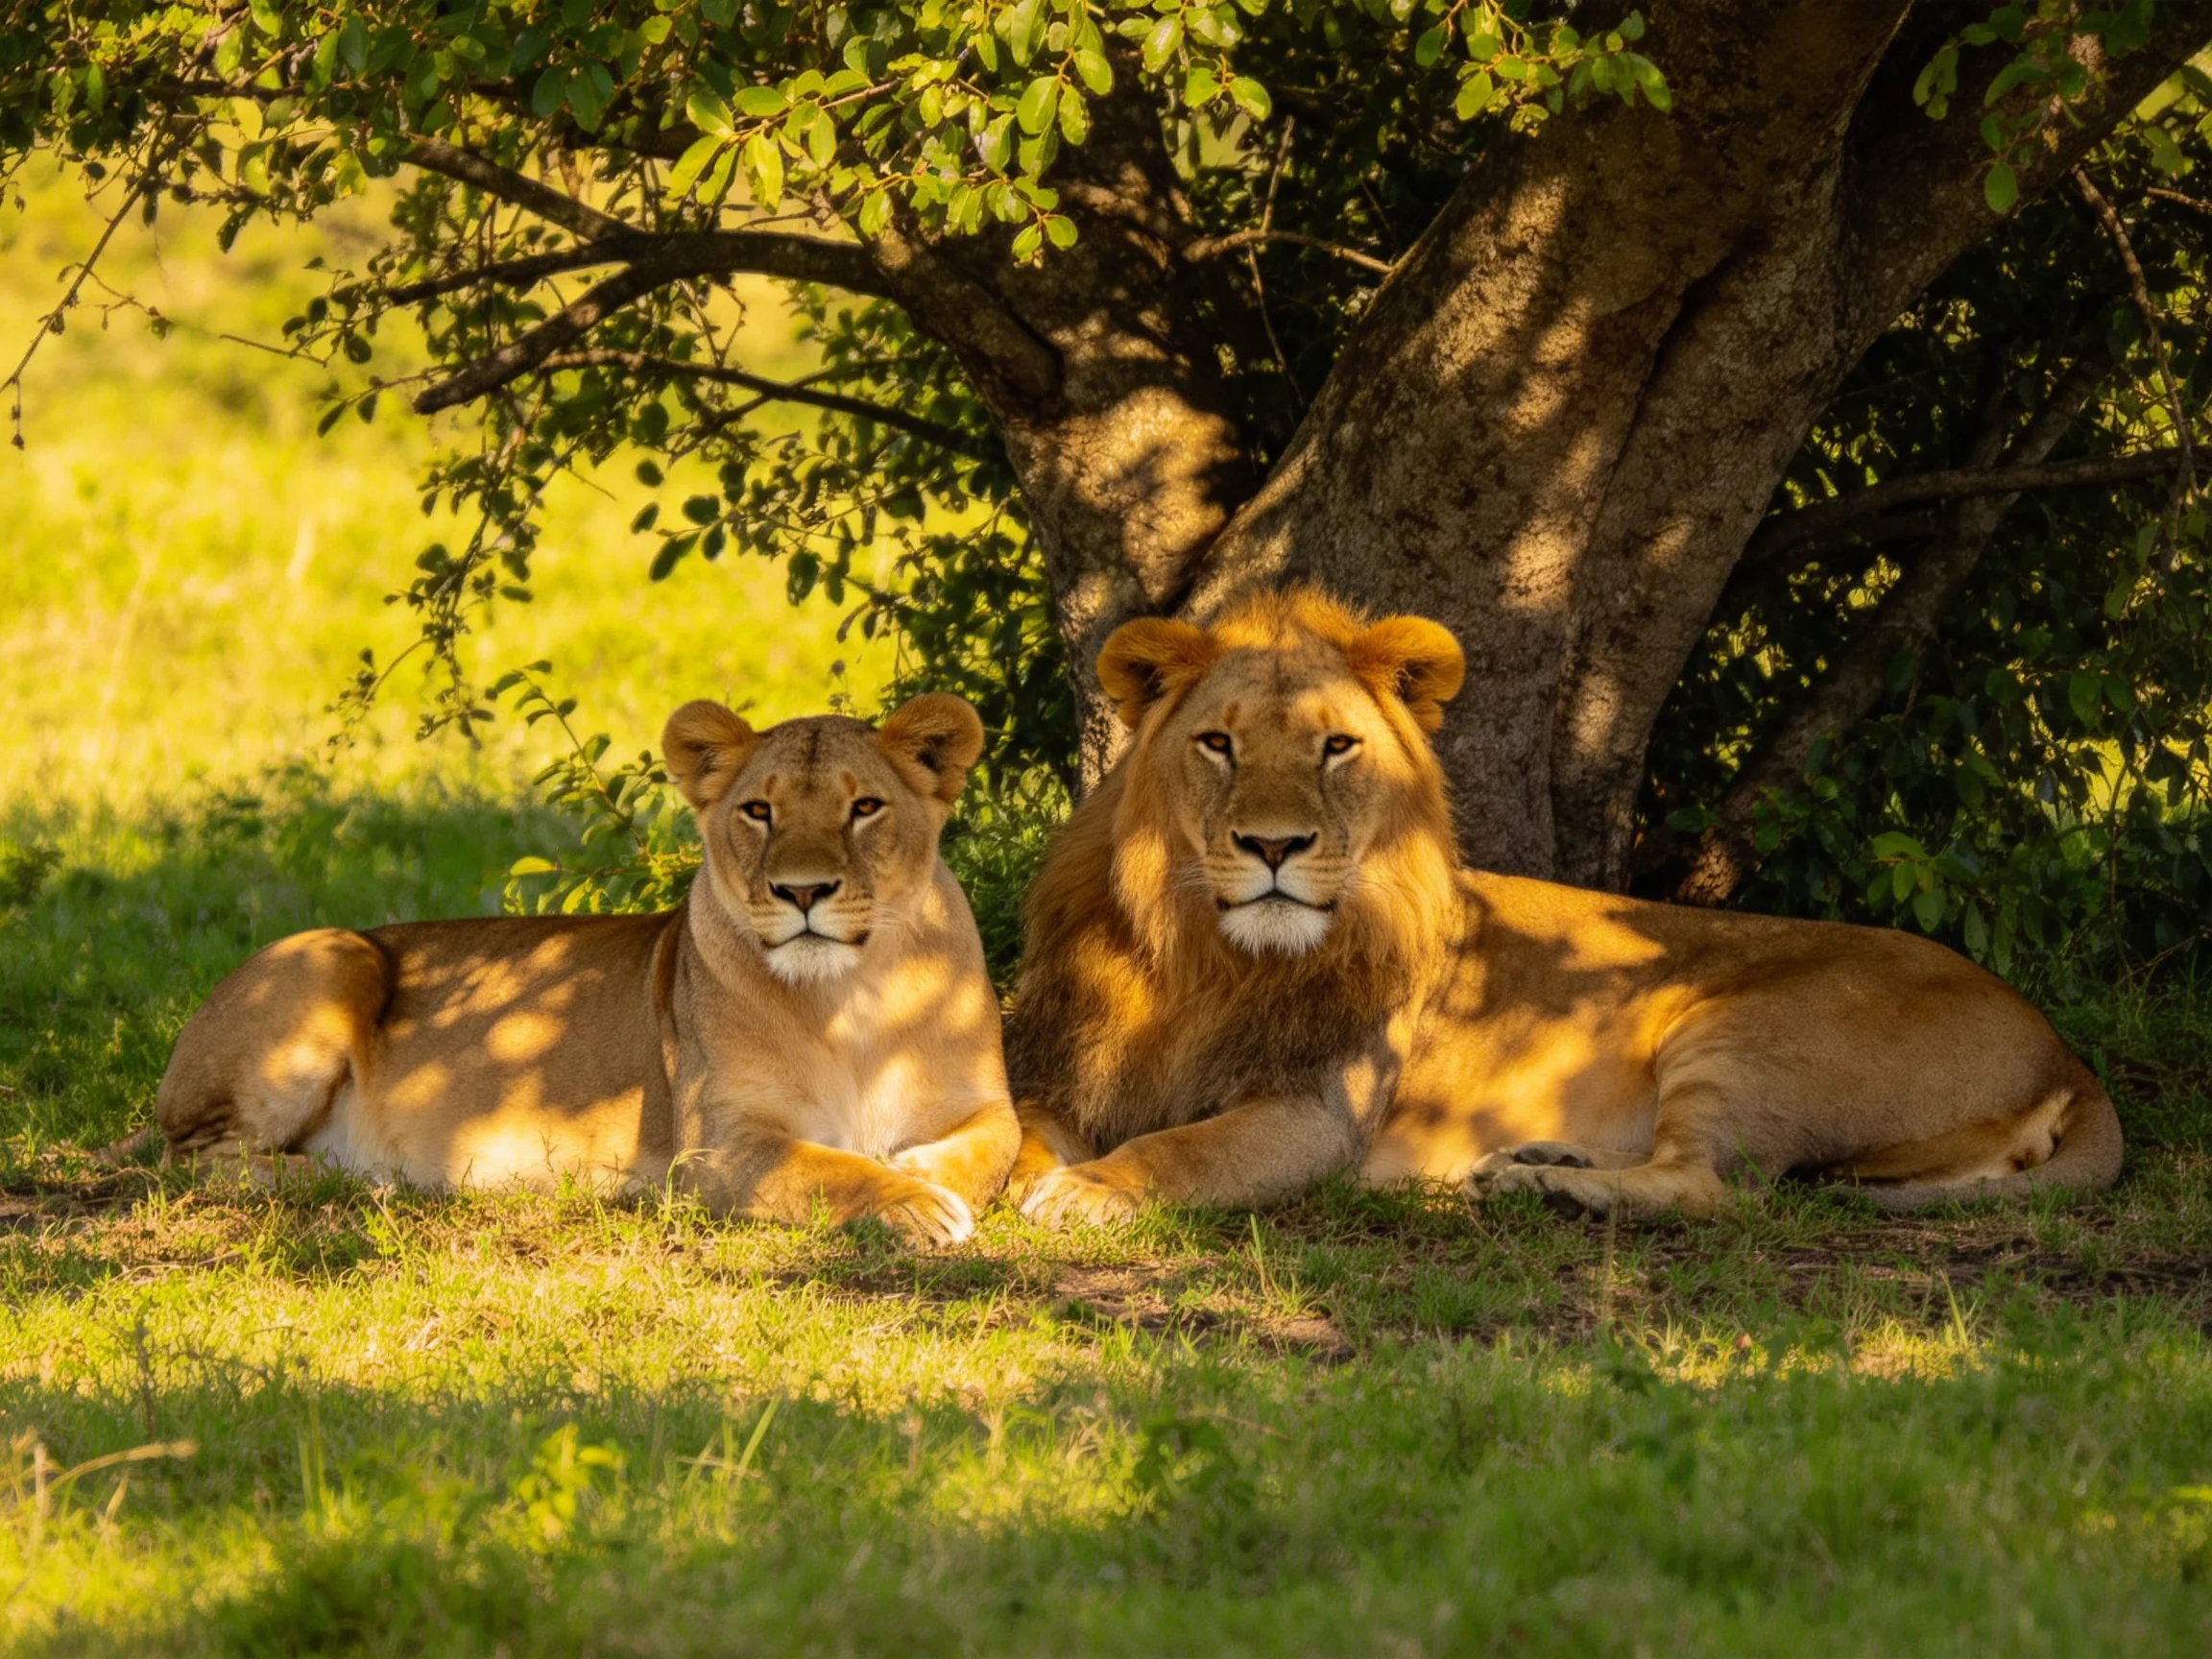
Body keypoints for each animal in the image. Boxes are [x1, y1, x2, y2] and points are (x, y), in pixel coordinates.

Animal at [156, 694, 1019, 1246]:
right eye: (759, 811)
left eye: (864, 807)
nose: (802, 892)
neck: (850, 998)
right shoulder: (717, 1149)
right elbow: (828, 1169)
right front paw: (918, 1204)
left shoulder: (985, 1101)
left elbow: (992, 1149)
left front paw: (922, 1171)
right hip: (332, 955)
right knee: (195, 1162)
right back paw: (361, 1179)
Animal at [1006, 589, 2121, 1226]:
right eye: (1218, 744)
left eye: (1336, 746)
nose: (1274, 847)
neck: (1205, 955)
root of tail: (2068, 1055)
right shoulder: (1071, 1071)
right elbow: (1012, 1125)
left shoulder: (1316, 1112)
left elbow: (1185, 1147)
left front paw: (1091, 1190)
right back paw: (1543, 1156)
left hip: (1744, 1028)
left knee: (1715, 1190)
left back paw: (1543, 1187)